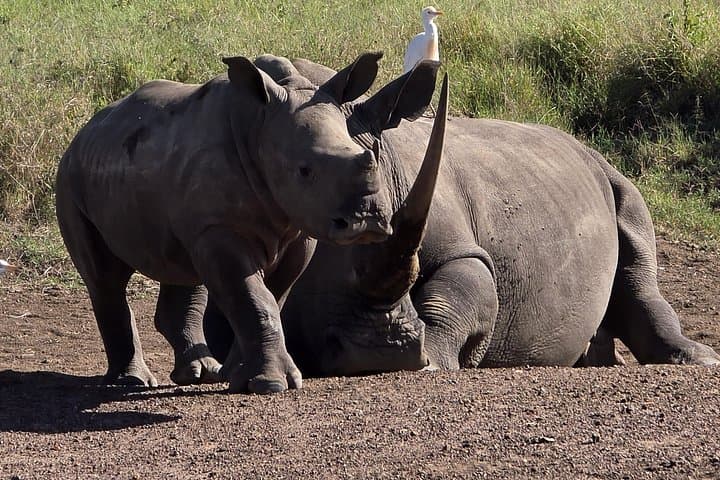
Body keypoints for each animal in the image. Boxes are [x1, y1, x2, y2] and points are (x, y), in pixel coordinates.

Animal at [55, 53, 447, 394]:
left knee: (182, 266)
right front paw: (271, 384)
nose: (368, 221)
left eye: (369, 157)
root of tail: (85, 130)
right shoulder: (220, 228)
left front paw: (238, 376)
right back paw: (131, 381)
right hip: (71, 176)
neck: (259, 126)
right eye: (305, 171)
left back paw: (203, 373)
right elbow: (253, 297)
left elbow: (266, 296)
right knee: (105, 277)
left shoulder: (296, 231)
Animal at [204, 54, 720, 377]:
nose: (372, 355)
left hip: (609, 171)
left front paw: (431, 360)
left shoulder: (461, 250)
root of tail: (577, 143)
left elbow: (460, 290)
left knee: (635, 236)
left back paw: (696, 360)